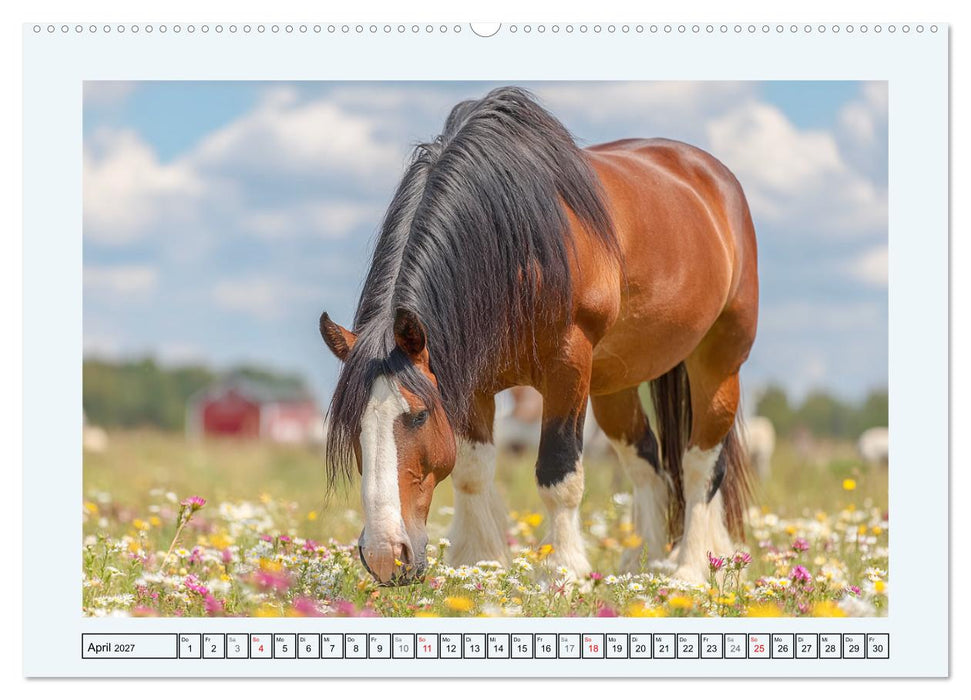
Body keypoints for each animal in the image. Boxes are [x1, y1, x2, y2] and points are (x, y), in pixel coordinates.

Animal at [319, 87, 758, 586]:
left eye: (418, 415)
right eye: (352, 425)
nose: (385, 556)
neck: (516, 250)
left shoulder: (568, 366)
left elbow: (558, 473)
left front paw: (561, 570)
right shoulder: (474, 383)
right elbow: (473, 470)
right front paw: (479, 560)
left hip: (718, 360)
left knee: (701, 463)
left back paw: (691, 568)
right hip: (615, 380)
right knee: (645, 459)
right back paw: (638, 565)